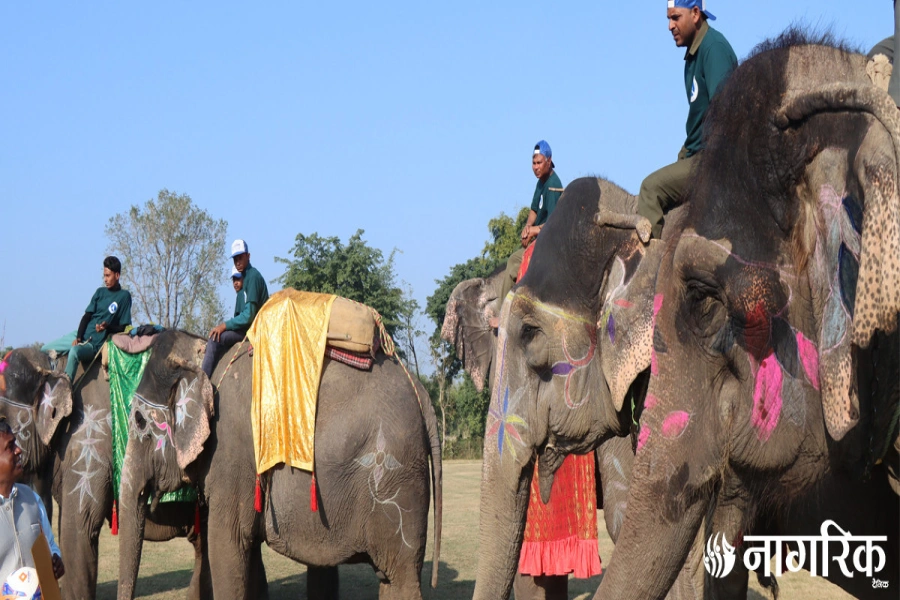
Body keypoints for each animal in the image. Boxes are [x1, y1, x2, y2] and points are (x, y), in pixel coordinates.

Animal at [117, 330, 442, 600]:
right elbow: (248, 554)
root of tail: (421, 392)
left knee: (401, 577)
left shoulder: (229, 454)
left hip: (398, 482)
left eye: (139, 421)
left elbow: (227, 545)